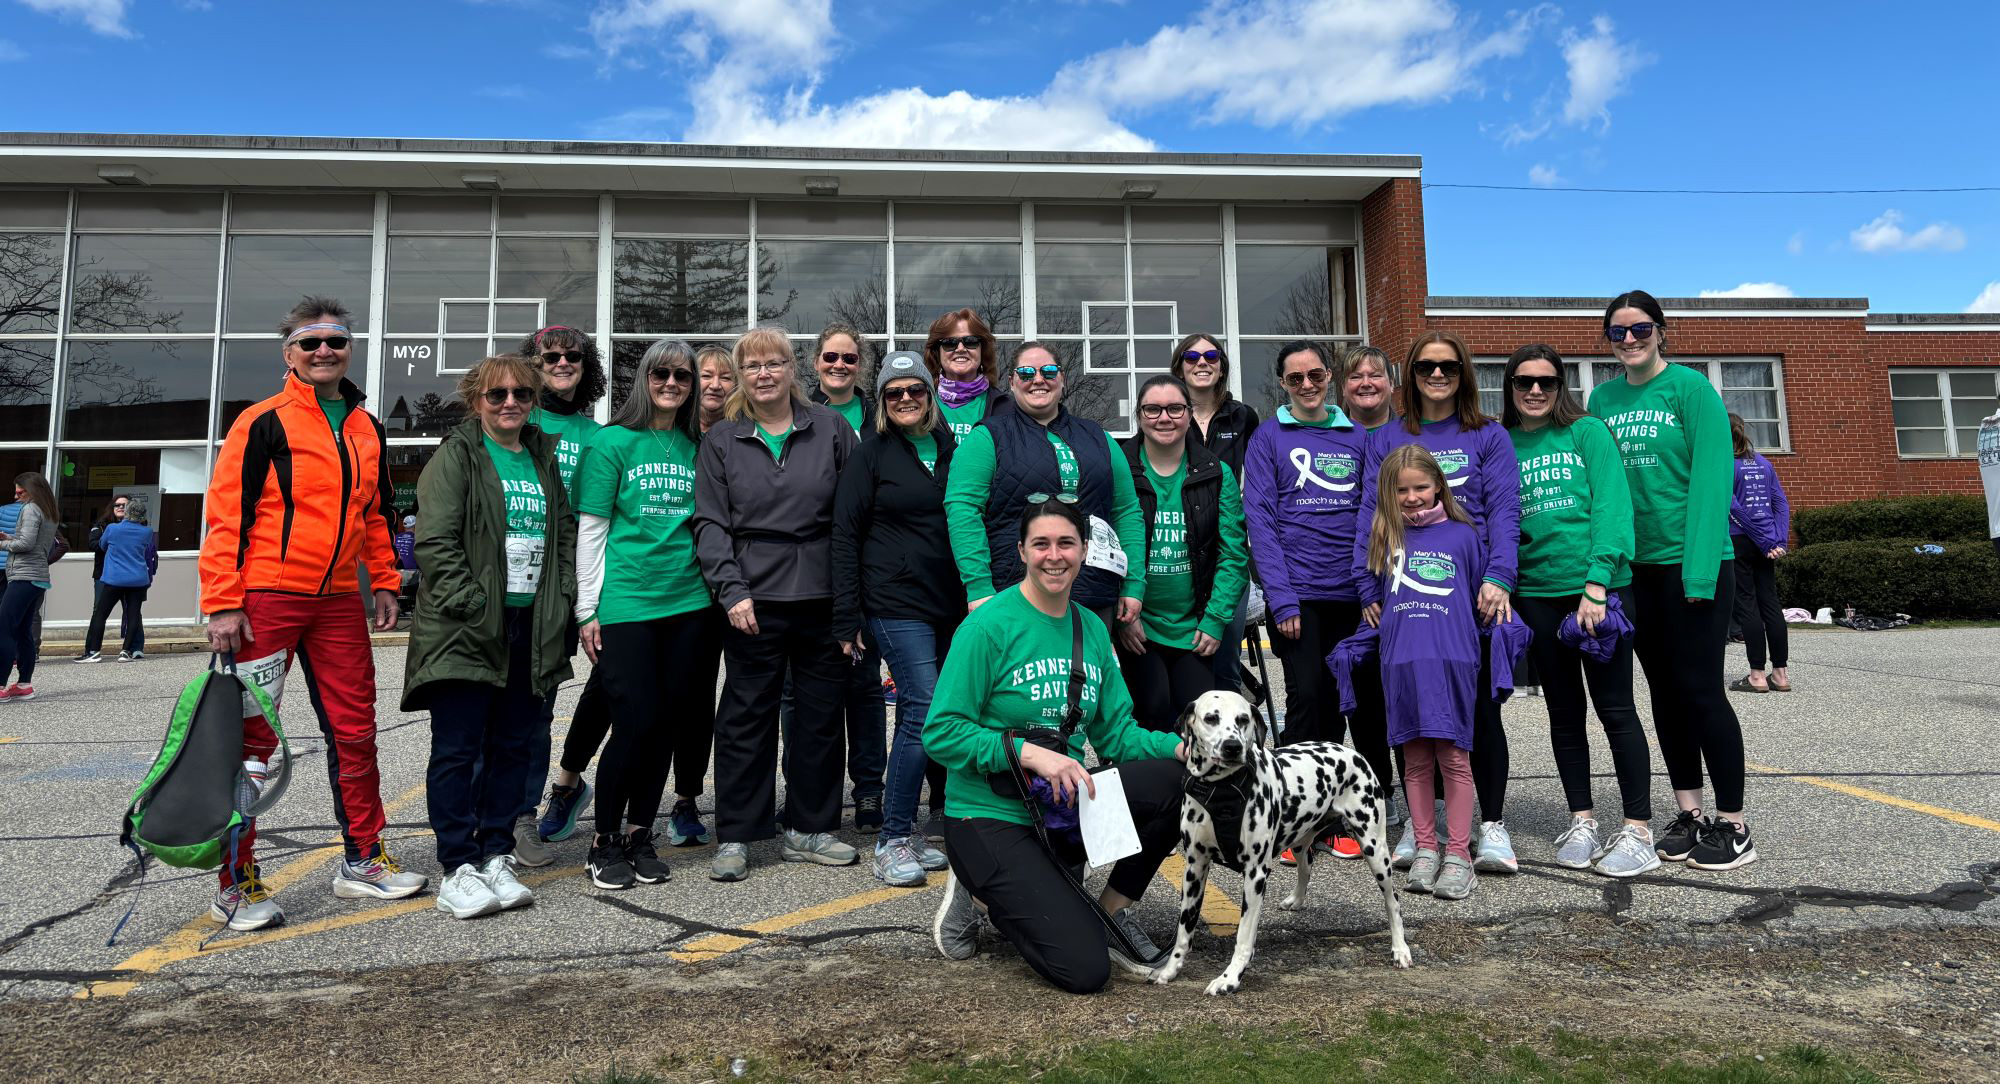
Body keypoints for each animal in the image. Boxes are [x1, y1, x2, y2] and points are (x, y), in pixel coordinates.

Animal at [1152, 692, 1416, 1000]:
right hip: (1301, 841)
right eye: (1211, 718)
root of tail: (1351, 752)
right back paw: (1296, 899)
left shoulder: (1255, 875)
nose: (1232, 747)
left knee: (1392, 900)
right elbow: (1185, 929)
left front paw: (1230, 979)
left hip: (1375, 850)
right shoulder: (1194, 868)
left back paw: (1400, 949)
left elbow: (1244, 937)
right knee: (1307, 865)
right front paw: (1170, 969)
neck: (1224, 789)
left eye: (1243, 719)